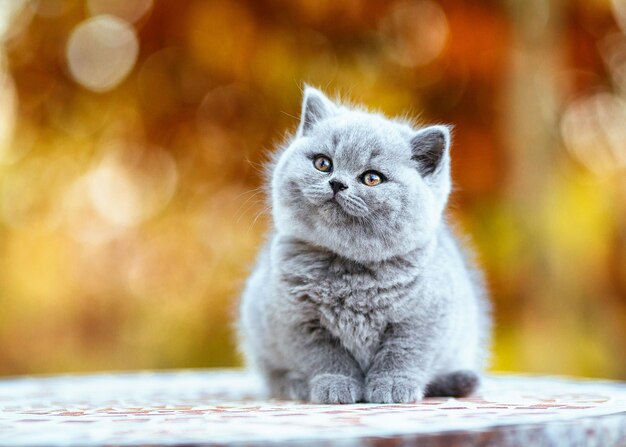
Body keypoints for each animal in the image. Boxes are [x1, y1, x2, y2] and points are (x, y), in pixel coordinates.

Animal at [236, 87, 490, 406]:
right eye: (323, 163)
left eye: (372, 178)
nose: (337, 183)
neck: (349, 269)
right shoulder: (297, 320)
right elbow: (326, 356)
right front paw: (336, 385)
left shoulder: (424, 319)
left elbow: (402, 354)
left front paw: (392, 386)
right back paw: (294, 384)